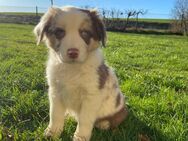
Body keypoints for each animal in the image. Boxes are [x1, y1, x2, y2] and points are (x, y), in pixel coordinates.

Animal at [33, 5, 128, 141]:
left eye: (85, 33)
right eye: (60, 32)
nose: (73, 52)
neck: (72, 69)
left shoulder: (91, 96)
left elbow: (85, 120)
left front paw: (80, 137)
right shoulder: (55, 92)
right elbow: (55, 114)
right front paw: (52, 132)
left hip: (119, 111)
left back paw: (104, 123)